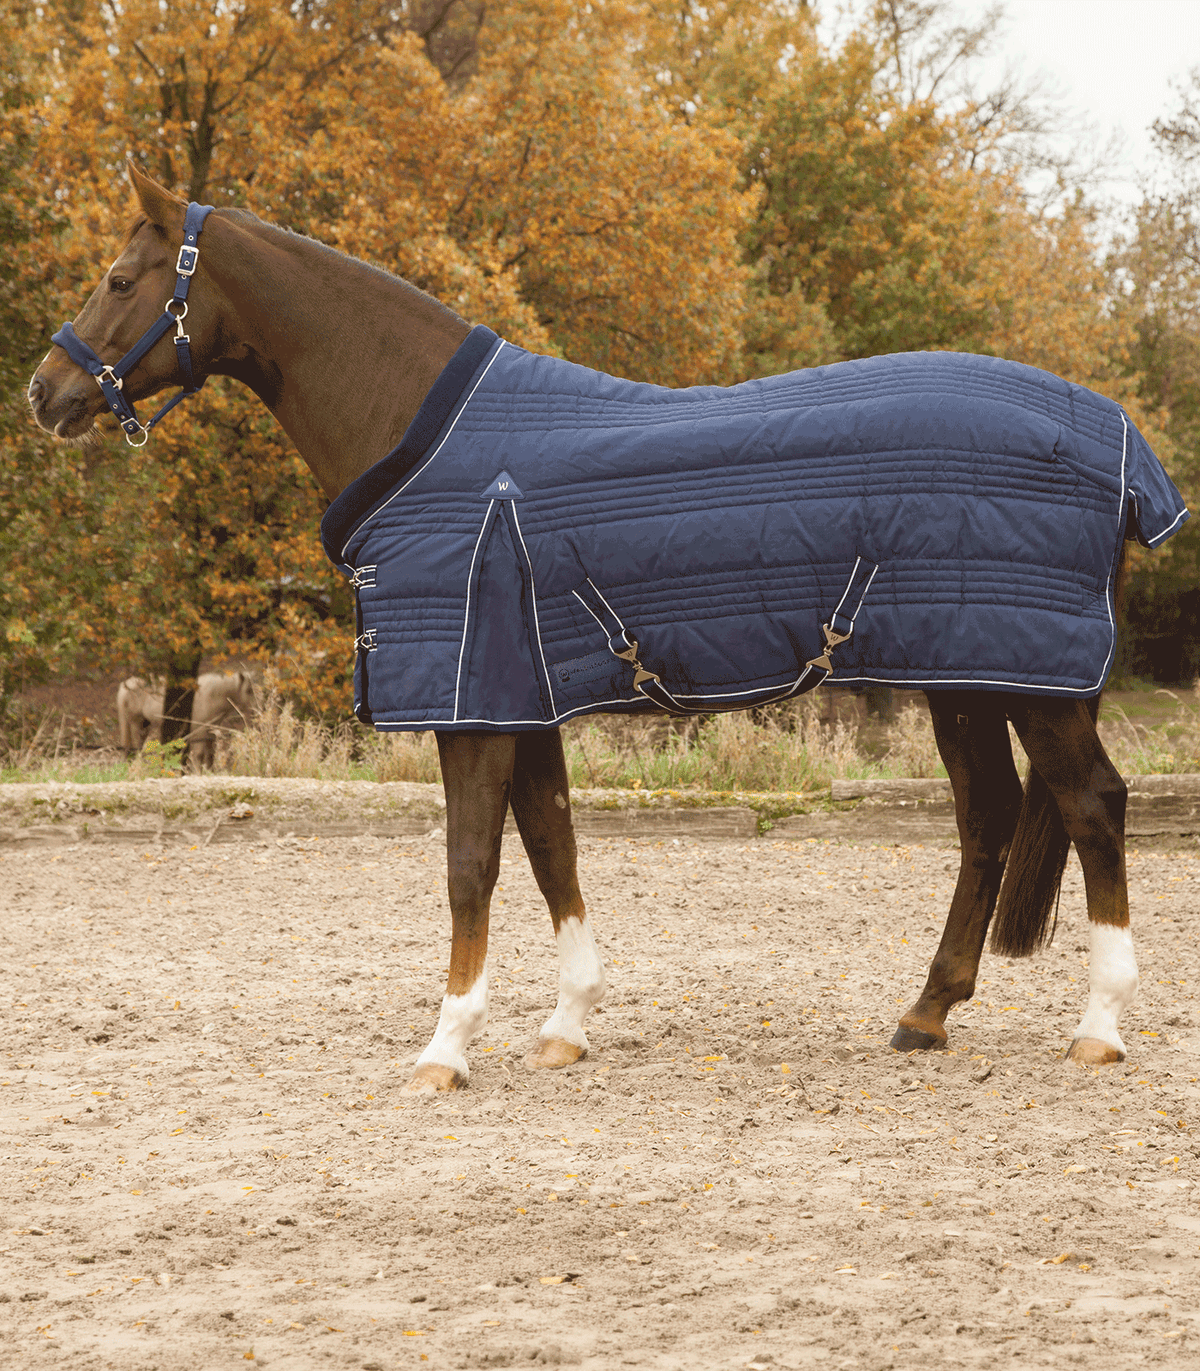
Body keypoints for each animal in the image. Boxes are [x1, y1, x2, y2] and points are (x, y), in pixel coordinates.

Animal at [29, 164, 1180, 1092]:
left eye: (122, 279)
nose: (47, 391)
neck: (434, 439)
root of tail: (1114, 431)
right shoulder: (521, 697)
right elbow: (552, 847)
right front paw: (565, 1026)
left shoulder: (475, 704)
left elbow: (471, 865)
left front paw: (446, 1047)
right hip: (970, 677)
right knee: (989, 817)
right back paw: (926, 1013)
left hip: (1031, 686)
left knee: (1094, 806)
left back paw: (1099, 1026)